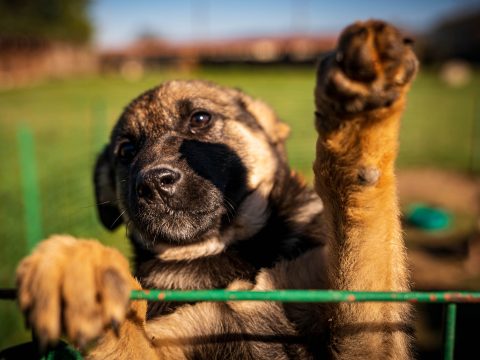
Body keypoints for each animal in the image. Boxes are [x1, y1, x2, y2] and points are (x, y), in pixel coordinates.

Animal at [15, 21, 416, 358]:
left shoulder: (359, 319)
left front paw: (357, 121)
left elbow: (364, 233)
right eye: (126, 151)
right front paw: (82, 267)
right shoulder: (172, 337)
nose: (153, 183)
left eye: (200, 119)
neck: (222, 252)